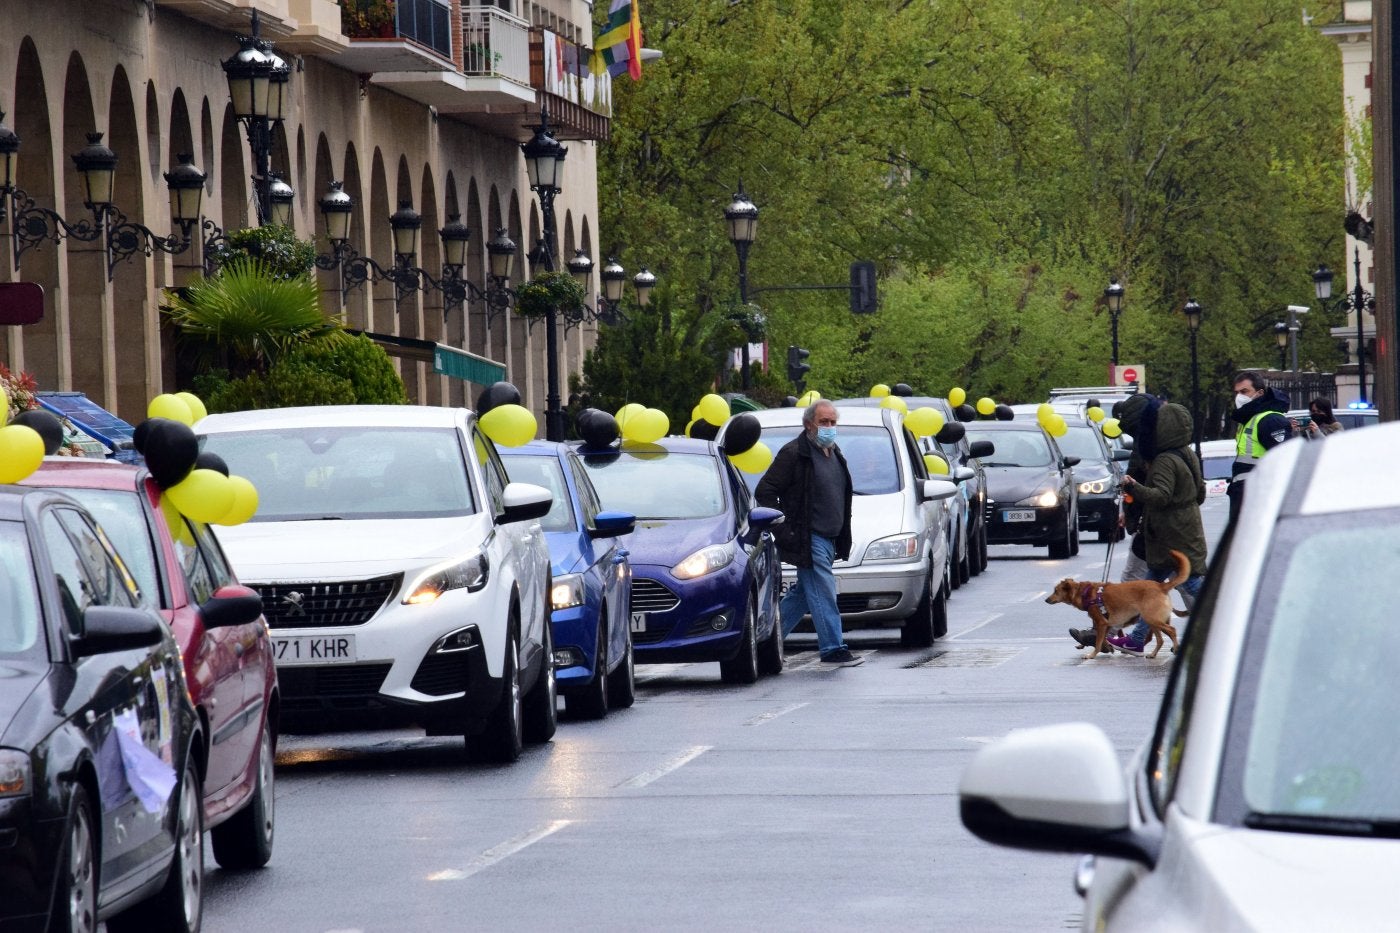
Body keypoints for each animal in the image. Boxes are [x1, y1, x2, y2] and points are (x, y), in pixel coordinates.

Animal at [1047, 549, 1187, 658]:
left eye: (1055, 591)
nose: (1046, 600)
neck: (1084, 593)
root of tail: (1161, 586)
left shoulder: (1102, 623)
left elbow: (1098, 642)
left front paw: (1092, 655)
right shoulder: (1106, 625)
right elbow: (1101, 639)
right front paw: (1103, 647)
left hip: (1152, 618)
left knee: (1172, 631)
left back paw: (1175, 649)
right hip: (1152, 621)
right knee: (1160, 639)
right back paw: (1153, 654)